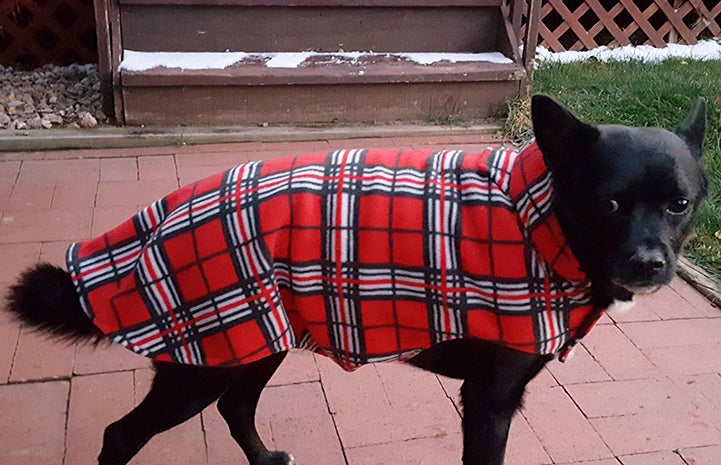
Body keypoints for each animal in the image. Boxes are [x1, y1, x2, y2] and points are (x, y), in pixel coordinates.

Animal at [4, 95, 704, 464]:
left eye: (680, 203)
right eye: (609, 204)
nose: (650, 265)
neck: (538, 220)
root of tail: (152, 223)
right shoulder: (489, 399)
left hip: (252, 339)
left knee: (235, 408)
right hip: (201, 362)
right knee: (122, 434)